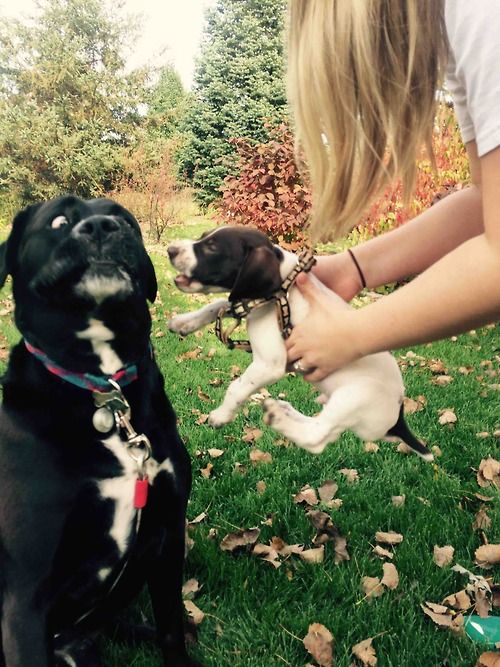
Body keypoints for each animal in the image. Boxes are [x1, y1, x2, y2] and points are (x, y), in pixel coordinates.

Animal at [0, 196, 197, 664]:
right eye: (58, 220)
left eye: (125, 219)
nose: (104, 226)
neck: (103, 388)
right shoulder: (24, 593)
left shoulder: (167, 537)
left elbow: (171, 630)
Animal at [168, 224, 434, 460]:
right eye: (203, 237)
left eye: (212, 247)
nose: (171, 249)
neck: (282, 291)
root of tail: (398, 417)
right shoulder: (245, 301)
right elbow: (217, 305)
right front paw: (183, 322)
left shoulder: (270, 364)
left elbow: (237, 387)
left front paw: (221, 415)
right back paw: (286, 411)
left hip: (354, 397)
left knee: (317, 437)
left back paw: (278, 417)